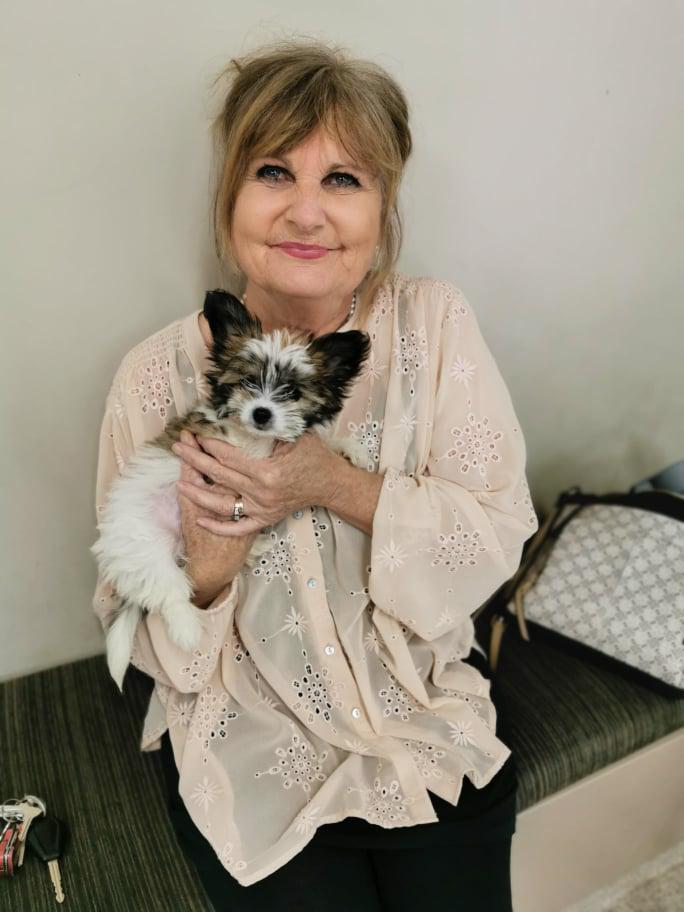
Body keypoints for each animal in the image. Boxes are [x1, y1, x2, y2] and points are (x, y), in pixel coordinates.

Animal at [91, 290, 371, 692]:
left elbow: (319, 442)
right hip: (146, 548)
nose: (261, 414)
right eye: (248, 382)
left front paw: (353, 449)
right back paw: (188, 627)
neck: (257, 439)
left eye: (291, 392)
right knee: (169, 590)